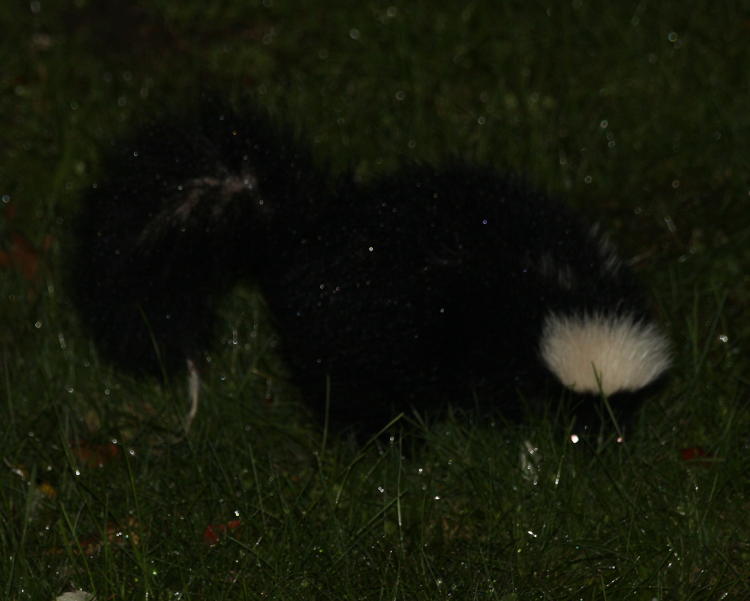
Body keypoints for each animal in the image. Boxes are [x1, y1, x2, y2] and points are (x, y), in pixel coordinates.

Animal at [70, 99, 668, 436]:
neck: (562, 289)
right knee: (345, 384)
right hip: (354, 328)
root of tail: (309, 230)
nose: (602, 446)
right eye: (578, 418)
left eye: (623, 414)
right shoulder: (488, 334)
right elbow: (495, 388)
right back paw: (387, 438)